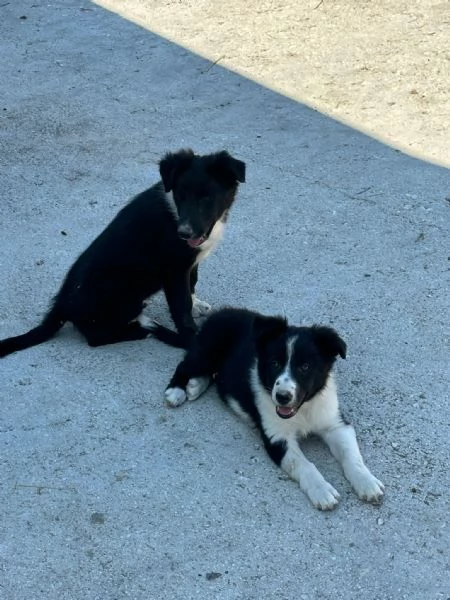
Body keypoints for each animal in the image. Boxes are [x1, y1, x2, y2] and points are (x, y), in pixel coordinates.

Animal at [0, 150, 246, 356]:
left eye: (206, 197)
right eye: (180, 195)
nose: (184, 233)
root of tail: (61, 305)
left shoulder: (190, 263)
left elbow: (192, 283)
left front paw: (197, 305)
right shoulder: (174, 270)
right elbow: (182, 308)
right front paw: (193, 341)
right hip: (121, 290)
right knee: (95, 337)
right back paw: (141, 330)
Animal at [162, 310, 384, 510]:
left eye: (305, 367)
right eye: (275, 364)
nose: (282, 396)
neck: (304, 409)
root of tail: (218, 314)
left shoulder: (335, 424)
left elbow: (351, 455)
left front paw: (367, 481)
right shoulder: (277, 438)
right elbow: (304, 465)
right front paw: (322, 490)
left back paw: (195, 385)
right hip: (206, 351)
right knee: (185, 365)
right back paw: (177, 391)